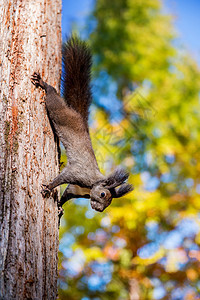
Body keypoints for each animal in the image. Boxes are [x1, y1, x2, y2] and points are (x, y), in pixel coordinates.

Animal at [30, 35, 133, 213]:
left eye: (109, 202)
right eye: (103, 195)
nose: (99, 210)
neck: (91, 185)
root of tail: (78, 115)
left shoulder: (76, 189)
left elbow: (67, 194)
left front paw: (60, 208)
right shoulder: (77, 173)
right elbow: (61, 179)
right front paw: (49, 187)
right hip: (59, 112)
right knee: (53, 97)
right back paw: (44, 84)